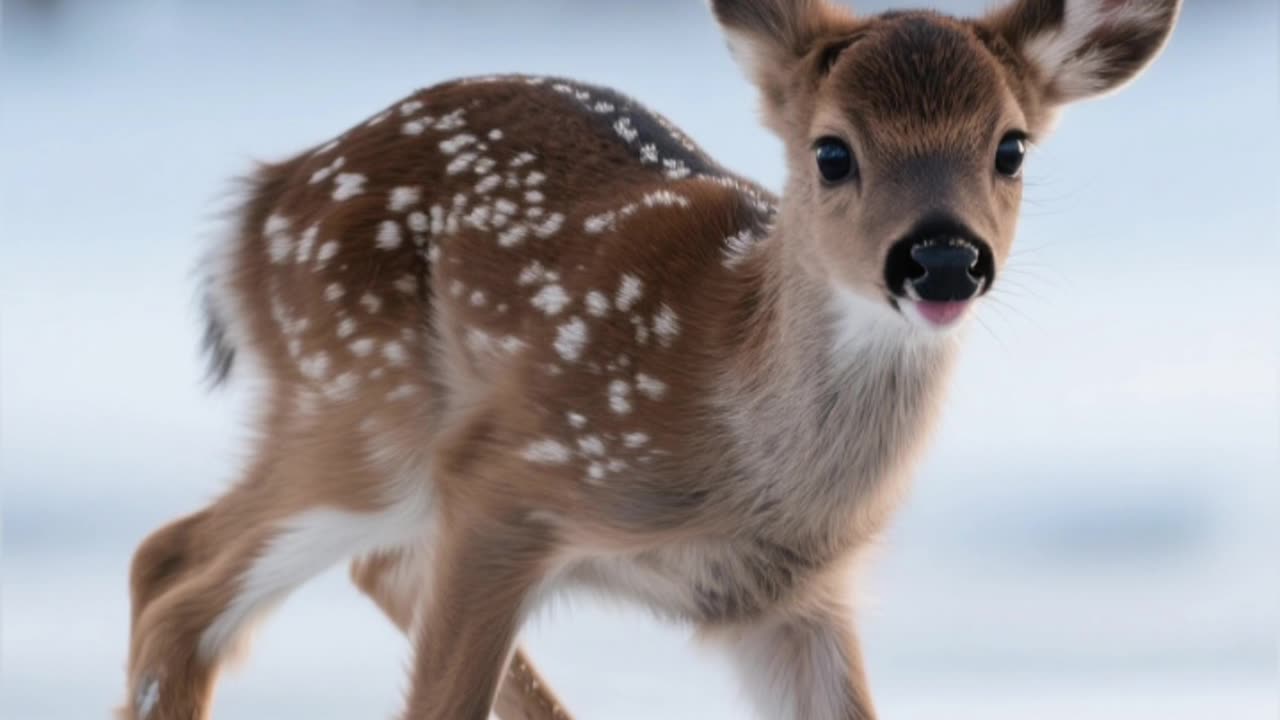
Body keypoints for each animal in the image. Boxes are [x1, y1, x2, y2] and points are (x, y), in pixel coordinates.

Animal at [121, 0, 1180, 718]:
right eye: (832, 151)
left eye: (1011, 148)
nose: (944, 257)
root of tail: (260, 200)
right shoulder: (507, 480)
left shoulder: (791, 600)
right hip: (364, 413)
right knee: (178, 578)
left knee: (280, 564)